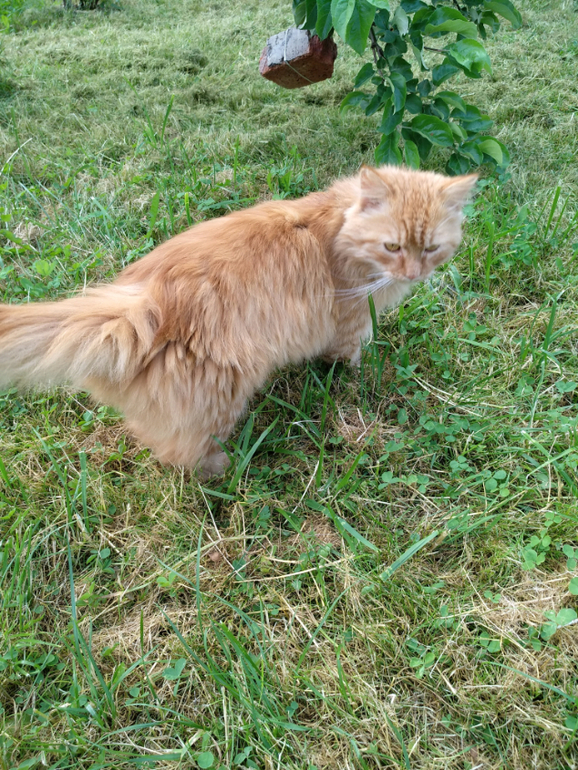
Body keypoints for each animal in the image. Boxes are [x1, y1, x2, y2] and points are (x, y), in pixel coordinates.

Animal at [0, 165, 476, 477]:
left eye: (431, 248)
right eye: (392, 246)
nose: (414, 274)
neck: (339, 223)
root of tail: (142, 306)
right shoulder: (351, 318)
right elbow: (349, 356)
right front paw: (359, 373)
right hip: (224, 391)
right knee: (182, 453)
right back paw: (227, 468)